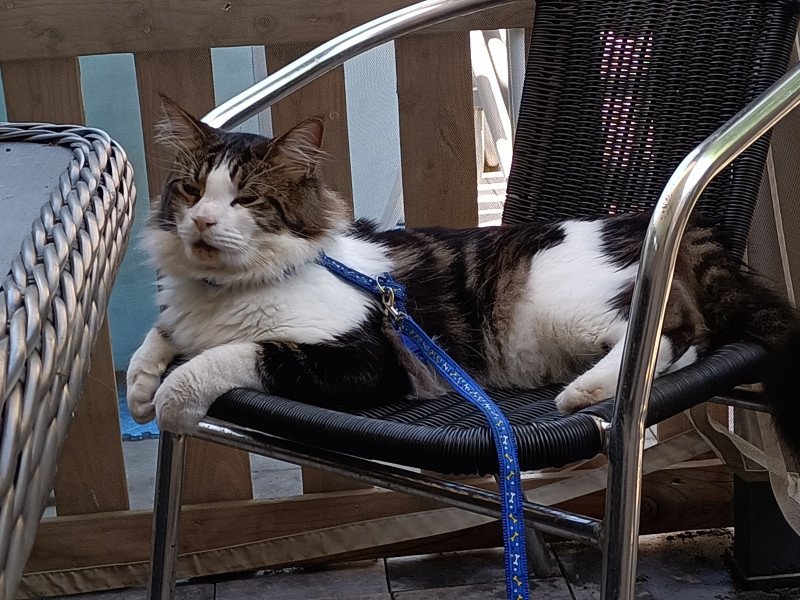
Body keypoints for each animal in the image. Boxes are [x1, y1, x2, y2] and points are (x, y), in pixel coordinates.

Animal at [126, 97, 800, 454]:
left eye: (245, 199)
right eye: (191, 191)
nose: (203, 221)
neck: (225, 292)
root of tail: (644, 221)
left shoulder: (361, 362)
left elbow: (236, 353)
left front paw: (171, 400)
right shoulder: (183, 320)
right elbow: (160, 335)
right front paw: (139, 383)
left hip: (575, 306)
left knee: (677, 333)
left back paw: (584, 394)